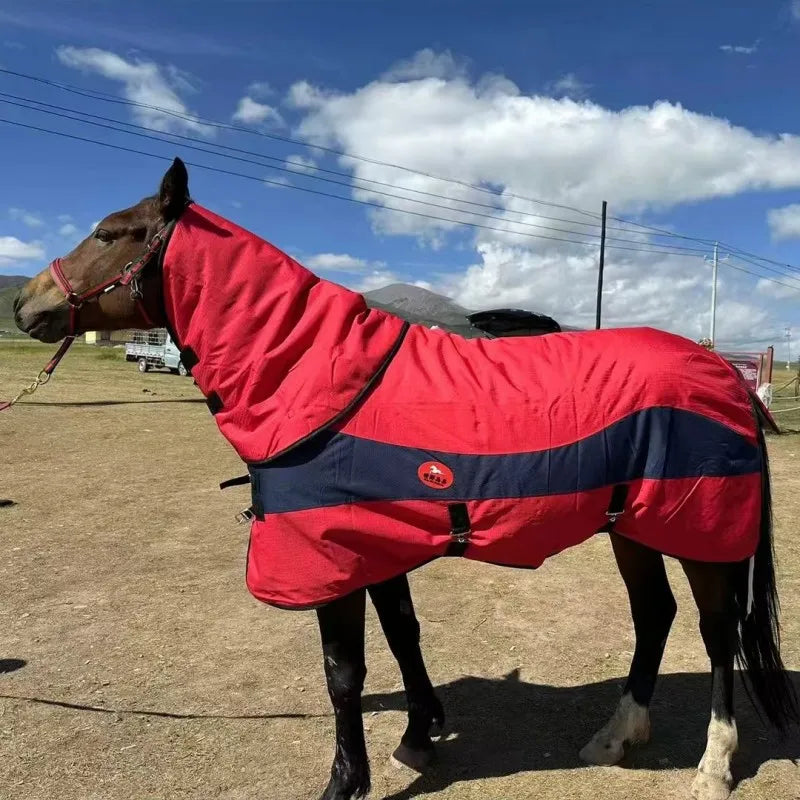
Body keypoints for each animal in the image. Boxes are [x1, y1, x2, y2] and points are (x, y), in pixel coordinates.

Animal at [13, 158, 798, 800]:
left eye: (112, 233)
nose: (25, 305)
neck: (318, 376)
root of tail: (722, 371)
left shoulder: (333, 557)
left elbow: (345, 671)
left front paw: (346, 781)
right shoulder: (376, 545)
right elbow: (403, 636)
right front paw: (420, 734)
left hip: (697, 532)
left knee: (715, 632)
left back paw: (713, 767)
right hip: (632, 527)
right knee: (654, 615)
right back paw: (616, 736)